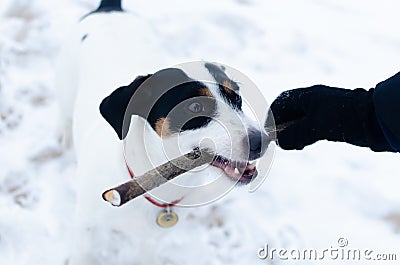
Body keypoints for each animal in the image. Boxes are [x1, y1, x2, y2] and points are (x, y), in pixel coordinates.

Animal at [55, 1, 268, 262]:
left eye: (236, 96)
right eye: (194, 107)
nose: (262, 141)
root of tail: (110, 8)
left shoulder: (151, 240)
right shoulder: (85, 228)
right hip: (65, 86)